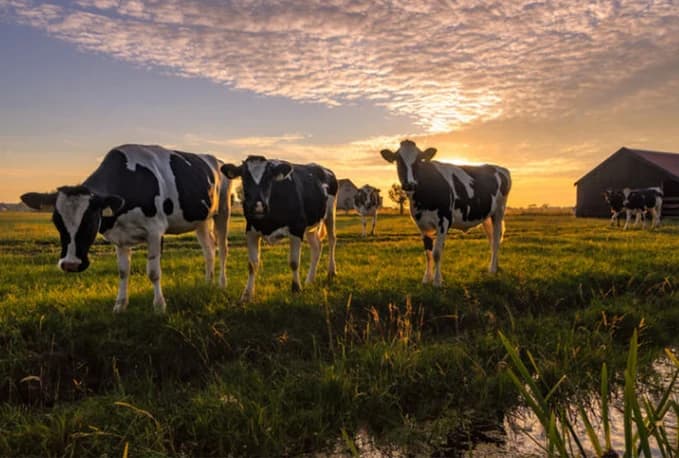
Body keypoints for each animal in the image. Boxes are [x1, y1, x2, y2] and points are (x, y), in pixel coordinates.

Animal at [20, 144, 232, 313]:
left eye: (90, 220)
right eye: (56, 221)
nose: (70, 264)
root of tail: (215, 159)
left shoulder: (155, 231)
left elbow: (153, 272)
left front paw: (159, 306)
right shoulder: (119, 237)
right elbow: (123, 271)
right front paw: (120, 305)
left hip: (223, 211)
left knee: (222, 248)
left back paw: (221, 284)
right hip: (201, 220)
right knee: (208, 249)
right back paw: (207, 283)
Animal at [221, 156, 337, 302]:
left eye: (269, 178)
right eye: (244, 177)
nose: (258, 206)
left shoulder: (297, 228)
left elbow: (294, 262)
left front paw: (296, 289)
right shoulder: (251, 231)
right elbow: (252, 265)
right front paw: (246, 295)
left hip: (330, 212)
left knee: (332, 240)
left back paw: (331, 272)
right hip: (311, 225)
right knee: (317, 246)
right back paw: (309, 280)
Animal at [380, 140, 511, 285]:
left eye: (419, 160)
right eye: (398, 160)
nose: (409, 184)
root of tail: (499, 168)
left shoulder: (444, 221)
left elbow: (437, 253)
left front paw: (437, 281)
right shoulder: (422, 224)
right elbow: (428, 253)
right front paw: (426, 278)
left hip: (499, 212)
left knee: (496, 240)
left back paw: (493, 269)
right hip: (487, 217)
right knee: (493, 239)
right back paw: (495, 266)